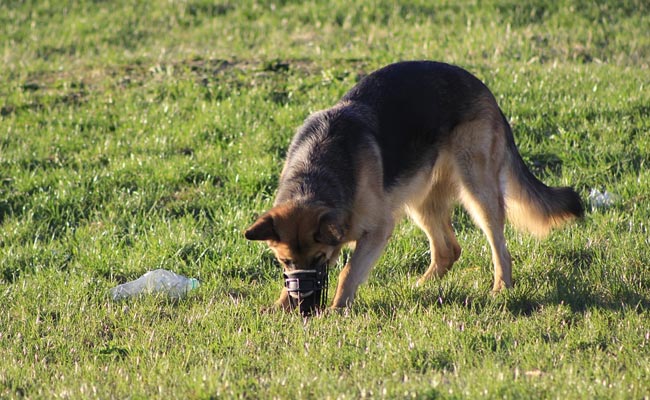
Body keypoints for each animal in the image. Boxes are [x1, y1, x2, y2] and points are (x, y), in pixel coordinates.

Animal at [244, 62, 584, 310]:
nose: (303, 303)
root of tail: (483, 89)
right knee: (448, 250)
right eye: (285, 261)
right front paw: (280, 306)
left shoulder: (378, 230)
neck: (314, 175)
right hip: (419, 200)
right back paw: (422, 287)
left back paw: (501, 289)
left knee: (499, 248)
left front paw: (337, 309)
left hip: (478, 192)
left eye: (320, 259)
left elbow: (347, 272)